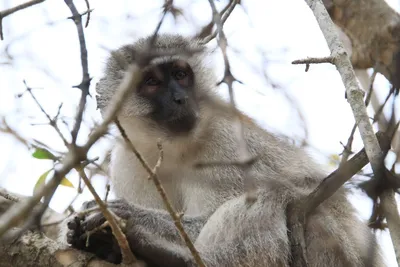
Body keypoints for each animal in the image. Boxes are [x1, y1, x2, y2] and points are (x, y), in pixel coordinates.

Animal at [62, 34, 384, 266]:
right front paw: (105, 242)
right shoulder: (128, 161)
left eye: (180, 74)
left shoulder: (227, 141)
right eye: (152, 82)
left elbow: (204, 219)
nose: (180, 99)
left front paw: (125, 217)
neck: (172, 146)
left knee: (275, 197)